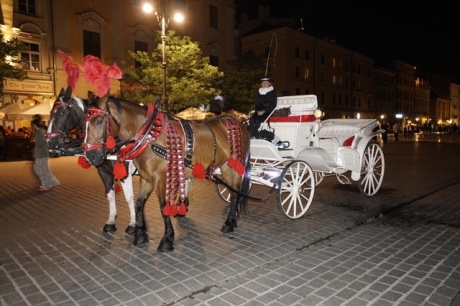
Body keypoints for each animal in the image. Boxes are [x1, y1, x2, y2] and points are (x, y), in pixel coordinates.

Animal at [47, 86, 137, 234]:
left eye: (62, 113)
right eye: (50, 112)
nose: (50, 142)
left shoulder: (125, 172)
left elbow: (129, 197)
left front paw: (133, 224)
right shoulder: (103, 171)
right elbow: (110, 195)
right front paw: (111, 221)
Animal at [81, 94, 250, 252]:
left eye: (99, 121)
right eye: (84, 124)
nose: (91, 156)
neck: (148, 137)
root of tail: (239, 124)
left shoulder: (160, 179)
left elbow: (163, 207)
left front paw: (167, 239)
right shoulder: (146, 178)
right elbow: (138, 203)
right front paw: (140, 234)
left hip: (232, 168)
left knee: (235, 194)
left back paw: (229, 223)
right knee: (235, 193)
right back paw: (233, 221)